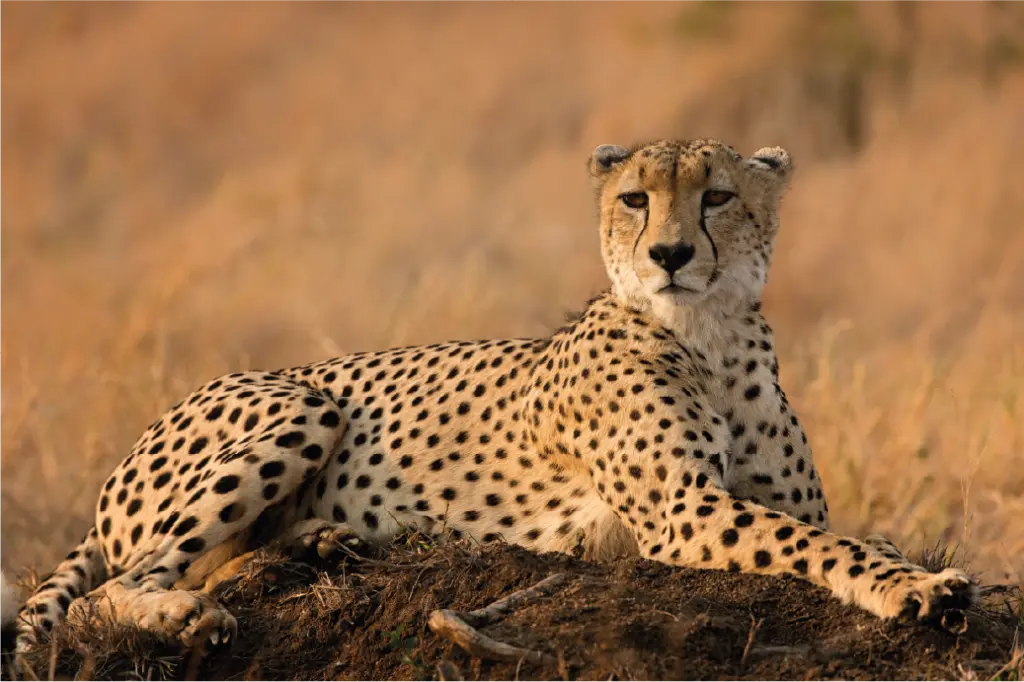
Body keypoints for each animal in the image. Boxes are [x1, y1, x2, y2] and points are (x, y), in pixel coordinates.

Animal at [0, 138, 977, 658]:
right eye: (635, 199)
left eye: (719, 197)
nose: (668, 255)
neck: (713, 335)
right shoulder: (684, 512)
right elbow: (823, 548)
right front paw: (914, 590)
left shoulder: (764, 498)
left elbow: (847, 531)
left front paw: (909, 565)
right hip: (304, 403)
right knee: (113, 585)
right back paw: (187, 613)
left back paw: (313, 544)